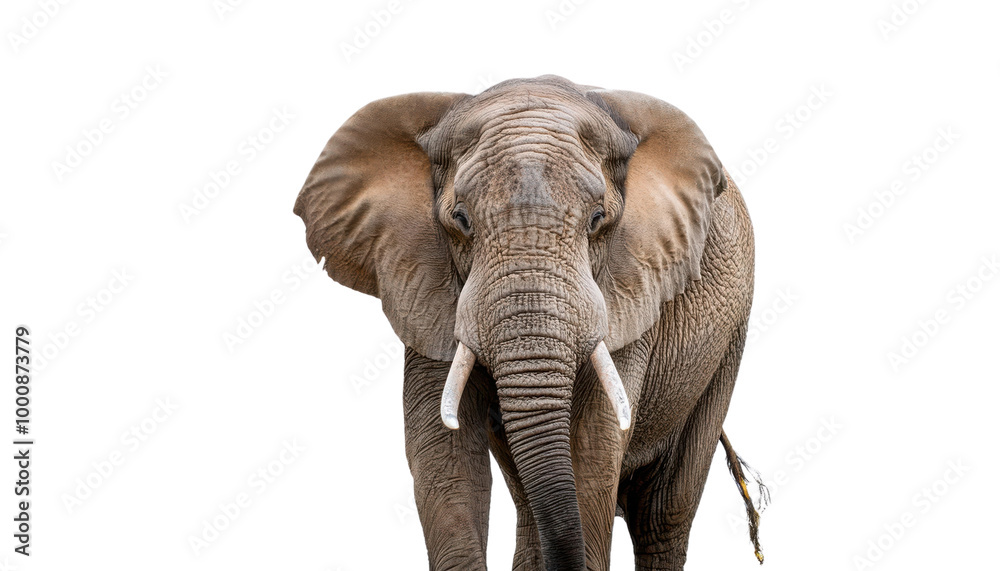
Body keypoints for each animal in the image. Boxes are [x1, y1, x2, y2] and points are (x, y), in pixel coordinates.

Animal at [294, 75, 765, 570]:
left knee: (664, 513)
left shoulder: (630, 286)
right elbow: (441, 455)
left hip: (729, 339)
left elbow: (592, 447)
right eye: (460, 220)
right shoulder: (426, 287)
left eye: (598, 220)